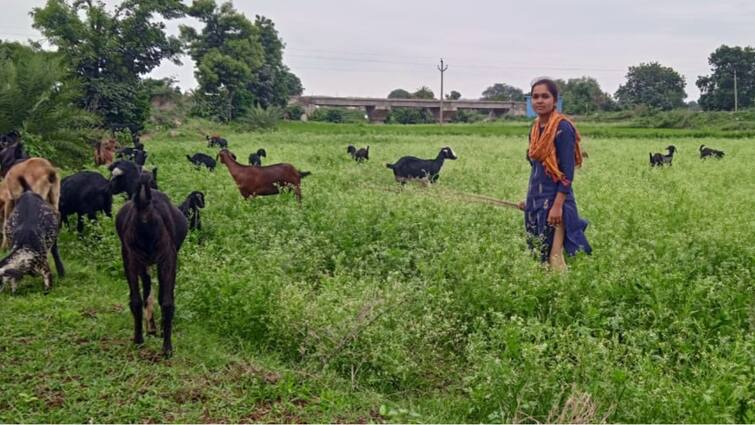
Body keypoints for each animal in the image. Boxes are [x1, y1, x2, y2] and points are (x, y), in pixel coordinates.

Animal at [118, 174, 190, 356]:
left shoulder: (143, 259)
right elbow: (162, 298)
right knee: (154, 297)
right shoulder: (162, 259)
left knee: (143, 297)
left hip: (140, 260)